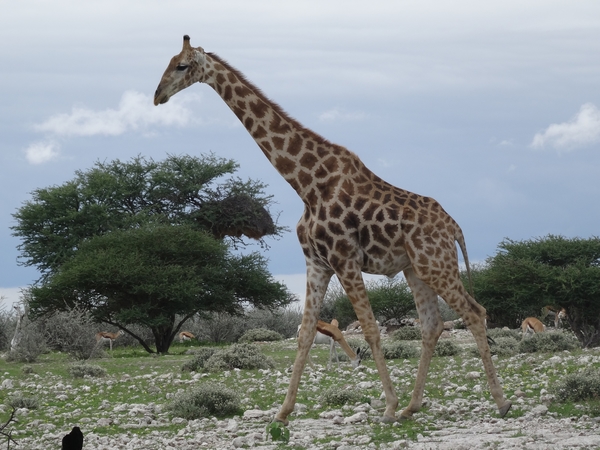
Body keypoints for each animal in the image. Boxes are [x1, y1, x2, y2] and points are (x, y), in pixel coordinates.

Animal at [154, 34, 510, 422]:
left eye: (182, 66)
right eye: (168, 62)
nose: (158, 96)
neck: (308, 185)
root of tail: (455, 227)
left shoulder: (345, 259)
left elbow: (370, 329)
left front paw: (387, 405)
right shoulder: (317, 264)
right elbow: (306, 334)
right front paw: (282, 411)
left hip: (436, 264)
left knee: (475, 312)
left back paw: (499, 401)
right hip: (415, 269)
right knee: (433, 324)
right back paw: (413, 406)